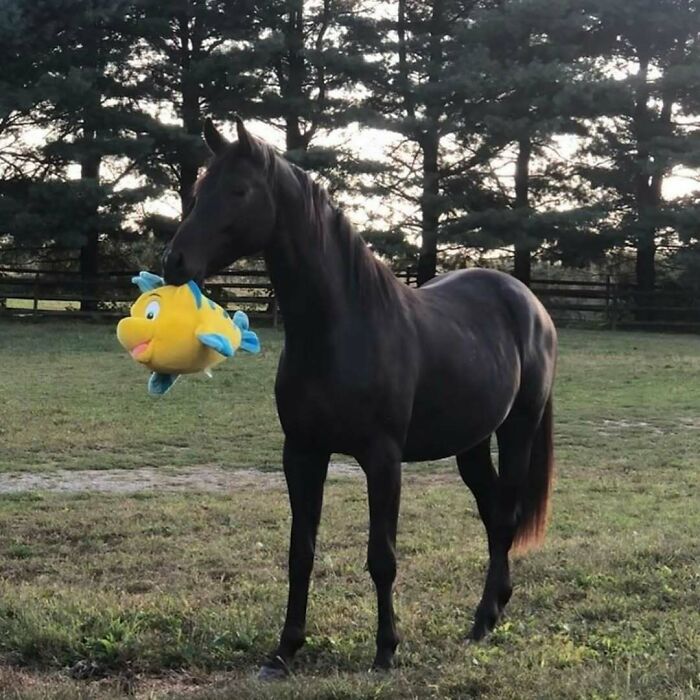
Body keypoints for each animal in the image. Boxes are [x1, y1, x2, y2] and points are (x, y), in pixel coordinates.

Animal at [162, 117, 557, 679]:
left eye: (238, 190)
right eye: (198, 191)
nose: (174, 262)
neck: (341, 326)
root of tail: (528, 302)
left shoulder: (382, 458)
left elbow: (381, 556)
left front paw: (386, 649)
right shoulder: (302, 453)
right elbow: (300, 551)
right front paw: (284, 650)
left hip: (518, 428)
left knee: (505, 515)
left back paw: (483, 621)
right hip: (472, 444)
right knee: (491, 515)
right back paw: (492, 611)